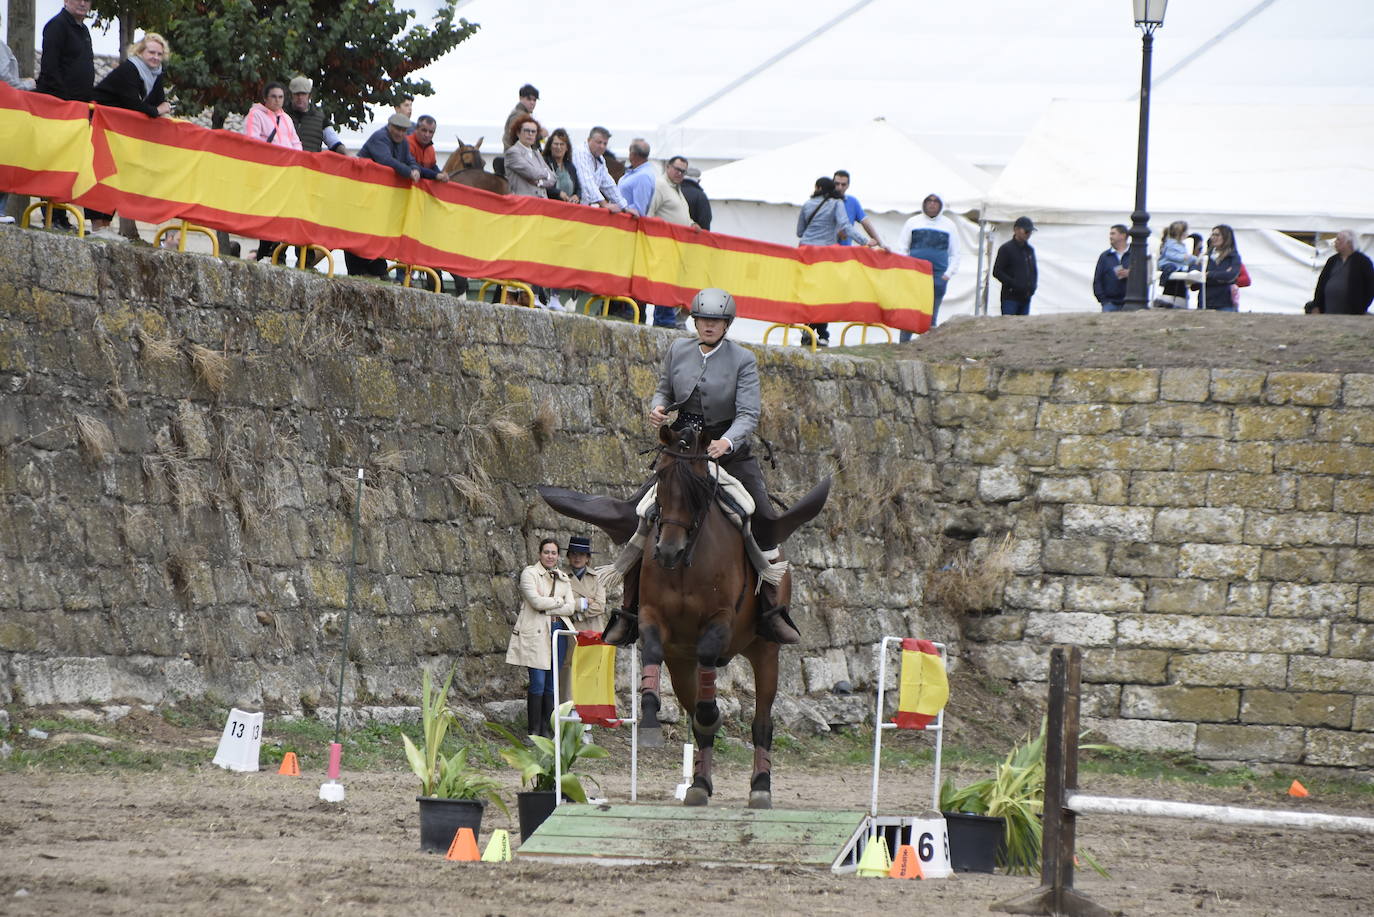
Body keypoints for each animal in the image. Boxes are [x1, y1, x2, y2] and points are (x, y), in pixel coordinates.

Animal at [637, 423, 780, 808]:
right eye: (660, 476)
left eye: (698, 486)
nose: (667, 552)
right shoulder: (652, 616)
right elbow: (651, 650)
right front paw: (649, 714)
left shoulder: (720, 620)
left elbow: (708, 657)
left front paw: (712, 714)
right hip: (681, 665)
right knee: (694, 711)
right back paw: (699, 782)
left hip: (765, 651)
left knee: (762, 722)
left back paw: (760, 786)